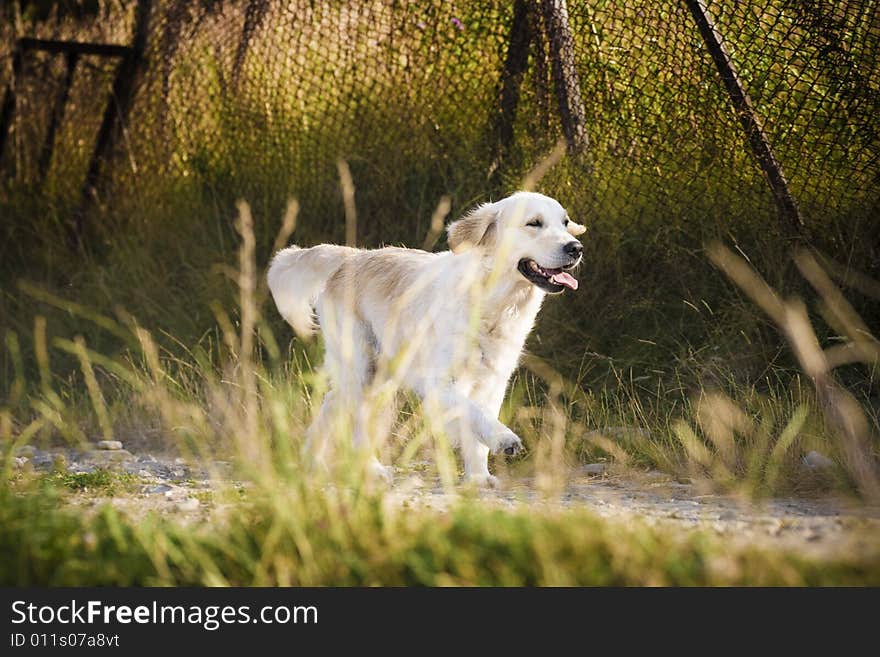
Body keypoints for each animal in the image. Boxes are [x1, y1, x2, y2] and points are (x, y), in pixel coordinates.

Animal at [268, 191, 584, 486]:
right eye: (534, 223)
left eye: (565, 223)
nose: (576, 248)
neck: (491, 302)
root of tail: (350, 257)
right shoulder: (438, 382)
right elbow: (473, 414)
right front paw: (504, 439)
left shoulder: (494, 381)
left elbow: (477, 431)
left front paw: (478, 477)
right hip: (363, 370)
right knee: (354, 419)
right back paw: (370, 469)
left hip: (379, 373)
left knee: (332, 403)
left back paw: (314, 462)